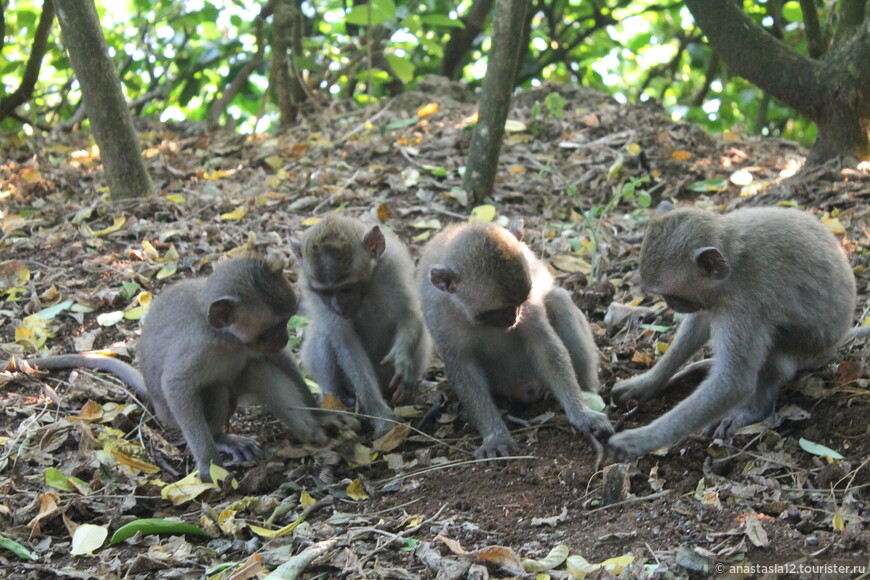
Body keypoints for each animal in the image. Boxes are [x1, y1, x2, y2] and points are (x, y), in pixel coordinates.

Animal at [27, 254, 328, 480]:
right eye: (272, 328)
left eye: (286, 321)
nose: (284, 337)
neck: (226, 336)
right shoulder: (199, 347)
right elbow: (177, 386)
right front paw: (209, 464)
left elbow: (280, 360)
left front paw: (320, 410)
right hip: (172, 414)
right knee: (218, 387)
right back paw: (220, 437)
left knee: (257, 369)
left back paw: (310, 432)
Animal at [292, 215, 430, 438]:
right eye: (326, 292)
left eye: (347, 288)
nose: (338, 307)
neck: (366, 290)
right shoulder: (311, 290)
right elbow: (346, 343)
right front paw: (380, 415)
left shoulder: (392, 266)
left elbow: (409, 313)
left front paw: (402, 358)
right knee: (324, 333)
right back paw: (337, 394)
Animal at [420, 221, 612, 458]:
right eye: (496, 311)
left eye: (520, 302)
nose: (515, 317)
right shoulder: (438, 314)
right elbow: (463, 367)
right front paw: (495, 436)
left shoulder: (530, 302)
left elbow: (544, 345)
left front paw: (582, 413)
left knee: (557, 300)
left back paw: (588, 392)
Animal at [608, 204, 860, 462]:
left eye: (670, 294)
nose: (670, 304)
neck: (731, 264)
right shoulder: (713, 298)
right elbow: (699, 323)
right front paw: (647, 382)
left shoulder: (744, 306)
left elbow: (733, 382)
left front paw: (639, 440)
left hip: (814, 346)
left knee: (775, 350)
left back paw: (753, 409)